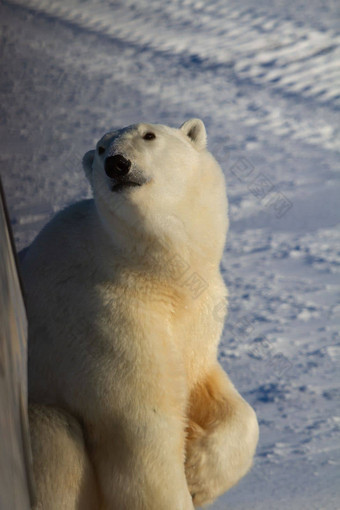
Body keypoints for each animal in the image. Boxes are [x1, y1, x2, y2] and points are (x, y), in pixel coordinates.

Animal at [21, 117, 258, 508]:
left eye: (149, 135)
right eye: (100, 148)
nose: (117, 164)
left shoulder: (196, 317)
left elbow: (213, 391)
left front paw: (200, 474)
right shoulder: (106, 320)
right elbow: (144, 436)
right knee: (57, 441)